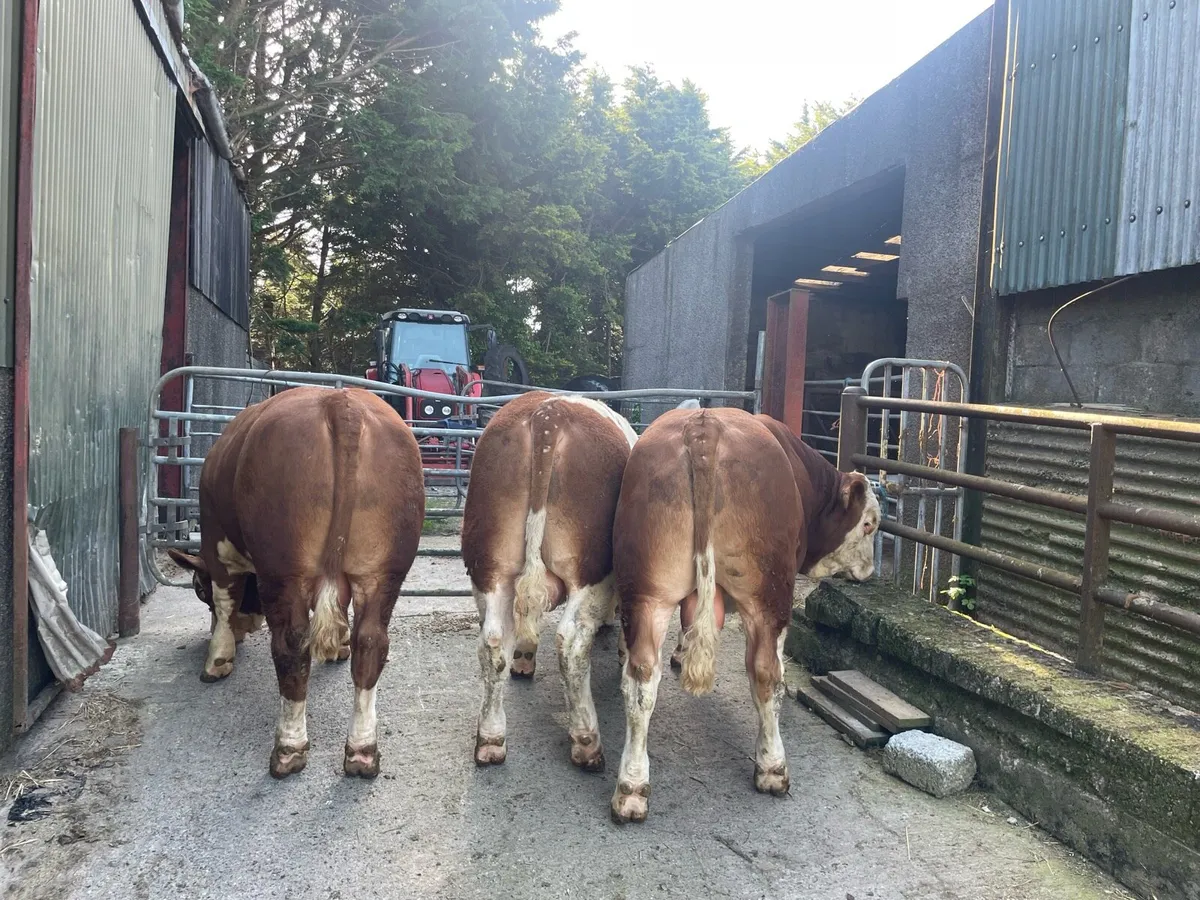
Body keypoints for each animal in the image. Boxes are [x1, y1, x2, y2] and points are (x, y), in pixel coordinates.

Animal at [167, 386, 425, 780]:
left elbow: (225, 598)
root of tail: (342, 403)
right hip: (383, 570)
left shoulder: (216, 539)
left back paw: (289, 748)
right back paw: (362, 751)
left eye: (198, 589)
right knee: (371, 642)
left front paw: (218, 656)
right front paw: (339, 647)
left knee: (291, 645)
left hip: (282, 567)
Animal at [461, 390, 638, 771]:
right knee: (571, 645)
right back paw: (587, 743)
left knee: (493, 642)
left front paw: (524, 658)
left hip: (489, 566)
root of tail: (548, 414)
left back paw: (490, 740)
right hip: (590, 570)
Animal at [609, 407, 880, 823]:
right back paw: (772, 767)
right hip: (767, 594)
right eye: (869, 524)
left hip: (646, 590)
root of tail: (703, 426)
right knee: (767, 673)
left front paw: (681, 654)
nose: (870, 571)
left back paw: (632, 787)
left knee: (640, 680)